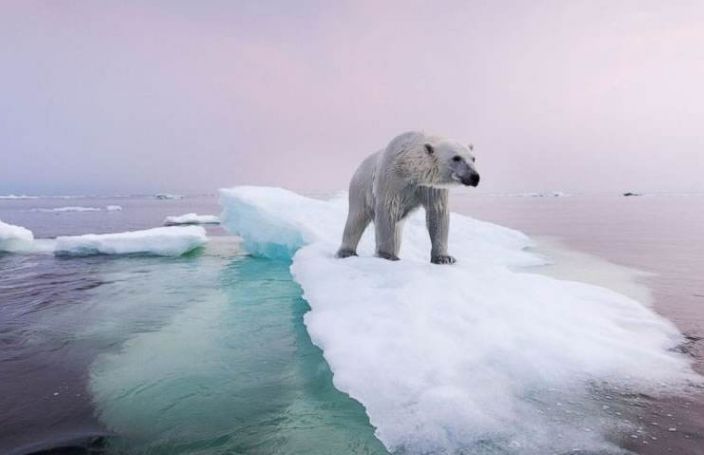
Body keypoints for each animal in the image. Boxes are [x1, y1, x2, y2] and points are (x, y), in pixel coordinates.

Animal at [336, 130, 482, 264]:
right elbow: (387, 210)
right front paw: (387, 255)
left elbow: (437, 212)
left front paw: (444, 258)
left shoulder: (430, 187)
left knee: (397, 230)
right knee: (356, 218)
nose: (475, 177)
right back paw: (346, 252)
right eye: (456, 158)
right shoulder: (391, 180)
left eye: (473, 158)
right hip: (360, 188)